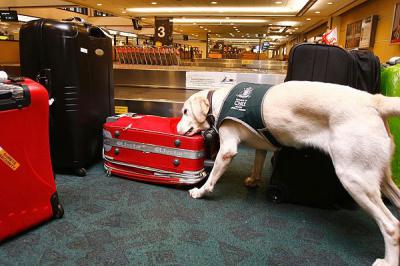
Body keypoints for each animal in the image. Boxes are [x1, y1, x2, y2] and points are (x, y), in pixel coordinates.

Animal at [177, 80, 400, 266]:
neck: (217, 103)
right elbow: (257, 162)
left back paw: (388, 261)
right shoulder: (260, 145)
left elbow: (212, 178)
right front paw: (253, 181)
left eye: (185, 111)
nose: (177, 128)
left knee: (392, 226)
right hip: (381, 178)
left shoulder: (227, 150)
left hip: (354, 179)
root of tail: (373, 100)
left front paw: (201, 192)